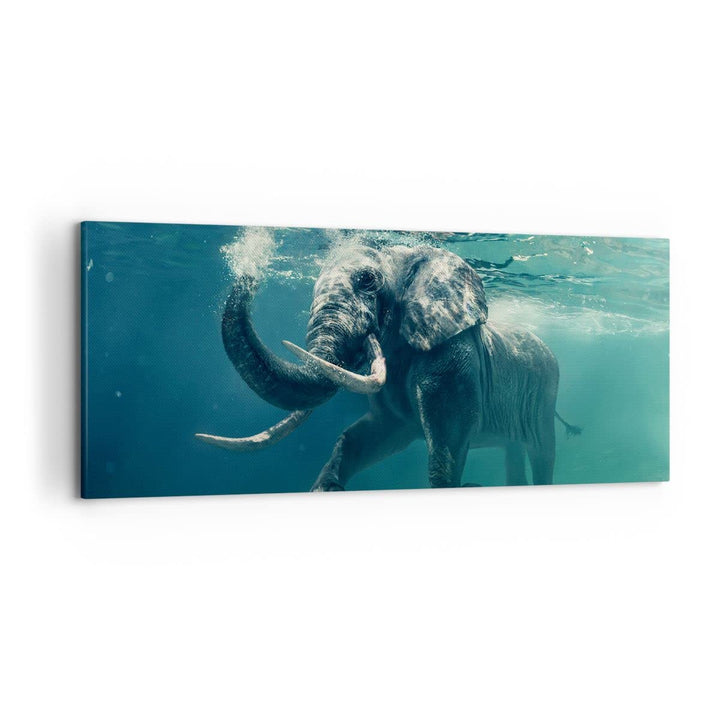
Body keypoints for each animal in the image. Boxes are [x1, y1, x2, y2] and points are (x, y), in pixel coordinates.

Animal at [196, 243, 580, 490]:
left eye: (367, 280)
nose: (248, 271)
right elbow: (365, 436)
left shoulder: (452, 360)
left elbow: (447, 443)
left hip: (546, 394)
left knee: (543, 452)